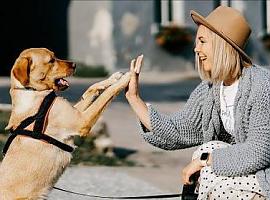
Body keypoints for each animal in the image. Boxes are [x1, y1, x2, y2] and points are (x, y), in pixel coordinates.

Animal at [0, 48, 131, 198]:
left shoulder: (77, 113)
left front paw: (114, 77)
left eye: (55, 56)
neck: (31, 91)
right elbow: (107, 94)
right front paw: (128, 77)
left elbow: (91, 89)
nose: (75, 64)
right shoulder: (82, 121)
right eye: (51, 60)